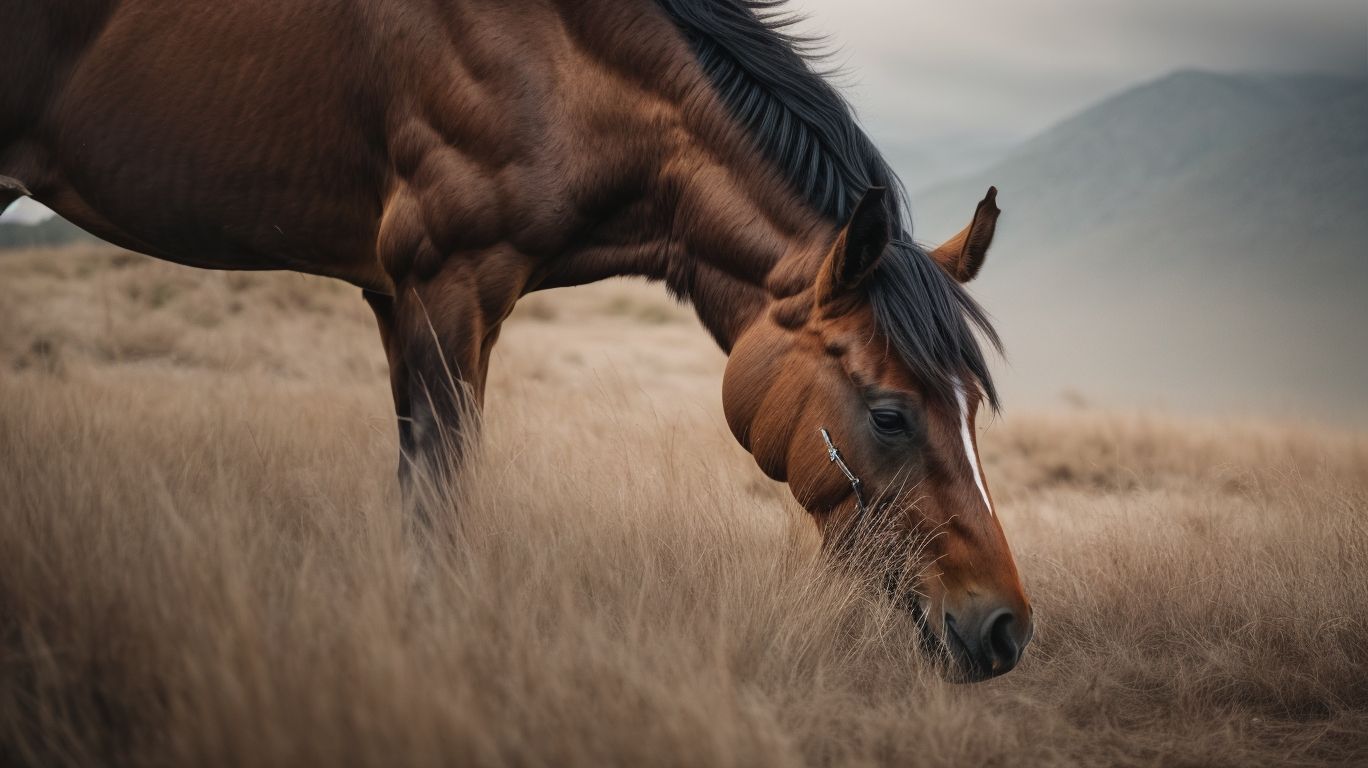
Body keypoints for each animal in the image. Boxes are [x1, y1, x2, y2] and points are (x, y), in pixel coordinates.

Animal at [1, 0, 1032, 680]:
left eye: (973, 409)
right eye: (891, 414)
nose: (1006, 628)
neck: (549, 56)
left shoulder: (407, 303)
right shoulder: (447, 283)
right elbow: (438, 498)